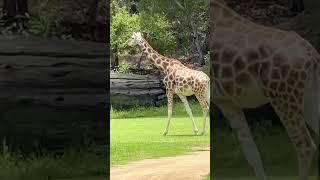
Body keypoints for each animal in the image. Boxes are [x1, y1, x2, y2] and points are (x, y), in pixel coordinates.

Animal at [210, 0, 320, 179]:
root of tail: (312, 55)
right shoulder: (227, 102)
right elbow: (251, 152)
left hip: (283, 97)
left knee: (305, 145)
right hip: (308, 95)